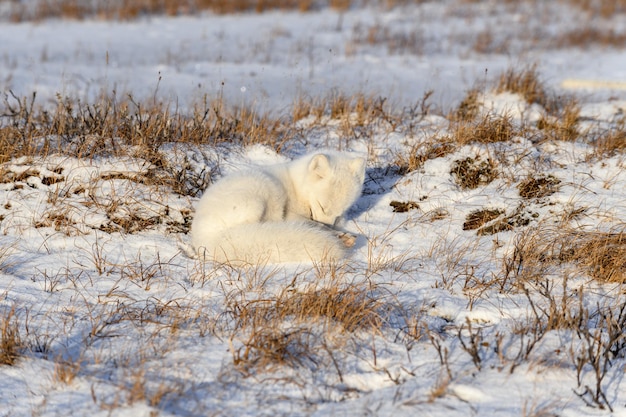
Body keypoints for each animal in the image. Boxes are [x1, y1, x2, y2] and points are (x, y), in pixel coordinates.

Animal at [190, 151, 366, 264]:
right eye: (322, 206)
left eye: (339, 213)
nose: (331, 224)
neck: (296, 188)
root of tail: (206, 239)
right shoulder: (291, 215)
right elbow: (316, 224)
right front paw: (339, 234)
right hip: (260, 195)